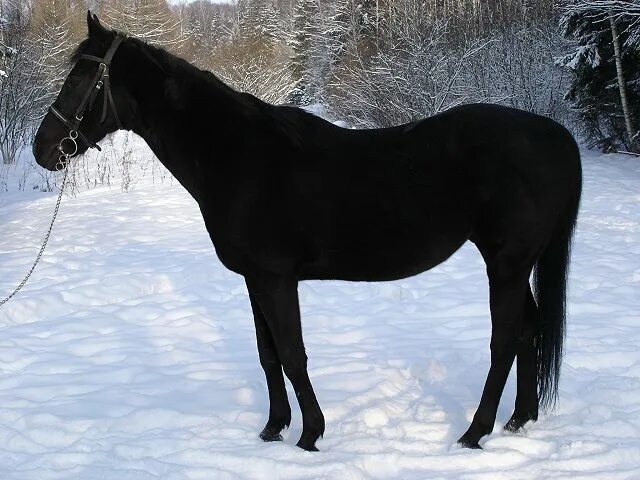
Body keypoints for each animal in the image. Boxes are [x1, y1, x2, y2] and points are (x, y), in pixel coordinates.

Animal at [32, 13, 584, 452]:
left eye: (82, 79)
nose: (44, 148)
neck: (237, 155)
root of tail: (555, 134)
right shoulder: (254, 279)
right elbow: (269, 354)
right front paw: (272, 428)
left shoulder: (276, 278)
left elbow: (293, 354)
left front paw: (310, 434)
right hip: (516, 264)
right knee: (529, 329)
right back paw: (519, 420)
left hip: (506, 263)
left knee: (505, 338)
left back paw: (475, 432)